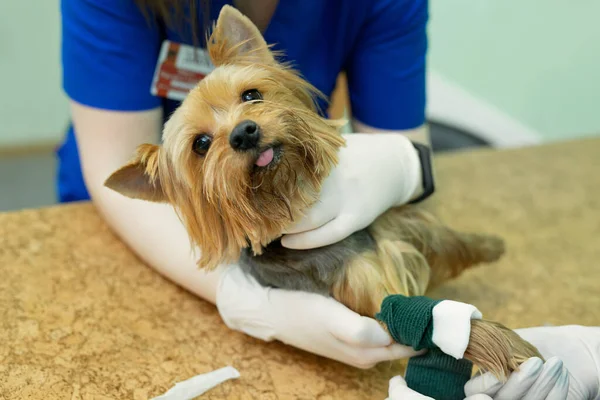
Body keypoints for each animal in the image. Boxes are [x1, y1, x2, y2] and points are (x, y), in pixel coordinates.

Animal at [105, 3, 540, 378]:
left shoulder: (398, 227)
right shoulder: (373, 296)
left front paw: (490, 246)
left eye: (251, 95)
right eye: (200, 144)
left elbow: (448, 241)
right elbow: (434, 321)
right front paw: (515, 350)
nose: (245, 132)